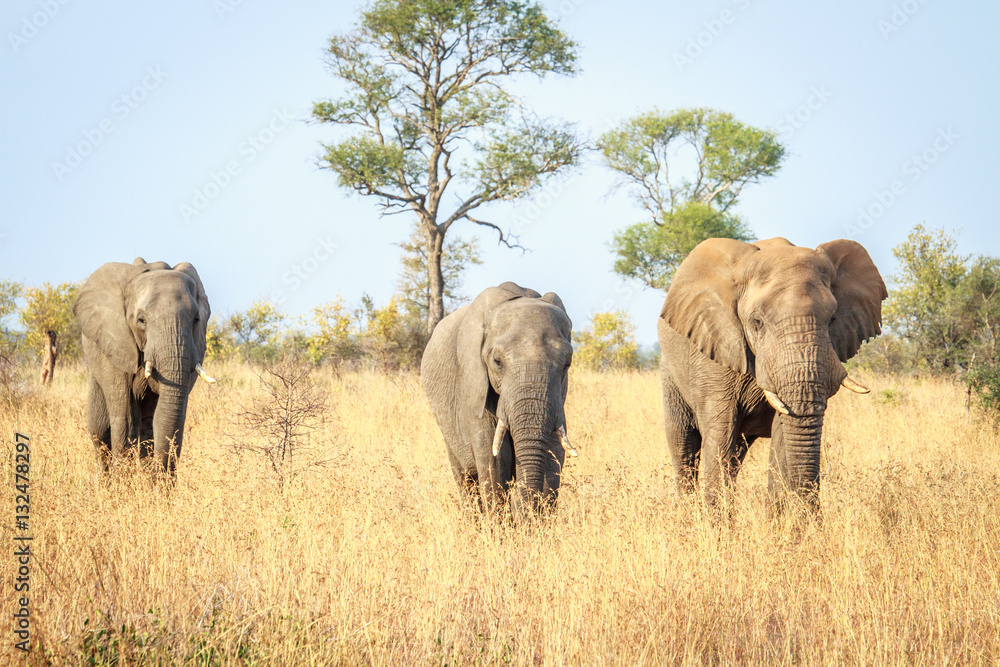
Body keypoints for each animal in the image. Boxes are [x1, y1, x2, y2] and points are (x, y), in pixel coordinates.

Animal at [73, 258, 215, 474]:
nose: (162, 476)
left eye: (196, 319)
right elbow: (126, 416)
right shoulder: (116, 340)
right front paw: (125, 481)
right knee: (100, 430)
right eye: (141, 320)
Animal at [422, 280, 580, 520]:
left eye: (567, 364)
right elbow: (494, 459)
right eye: (497, 362)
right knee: (465, 479)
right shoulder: (473, 387)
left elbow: (554, 454)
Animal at [660, 237, 888, 516]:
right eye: (756, 322)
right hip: (670, 371)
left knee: (736, 454)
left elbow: (782, 439)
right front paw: (717, 525)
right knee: (684, 445)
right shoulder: (714, 353)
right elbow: (721, 433)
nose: (813, 518)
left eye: (832, 319)